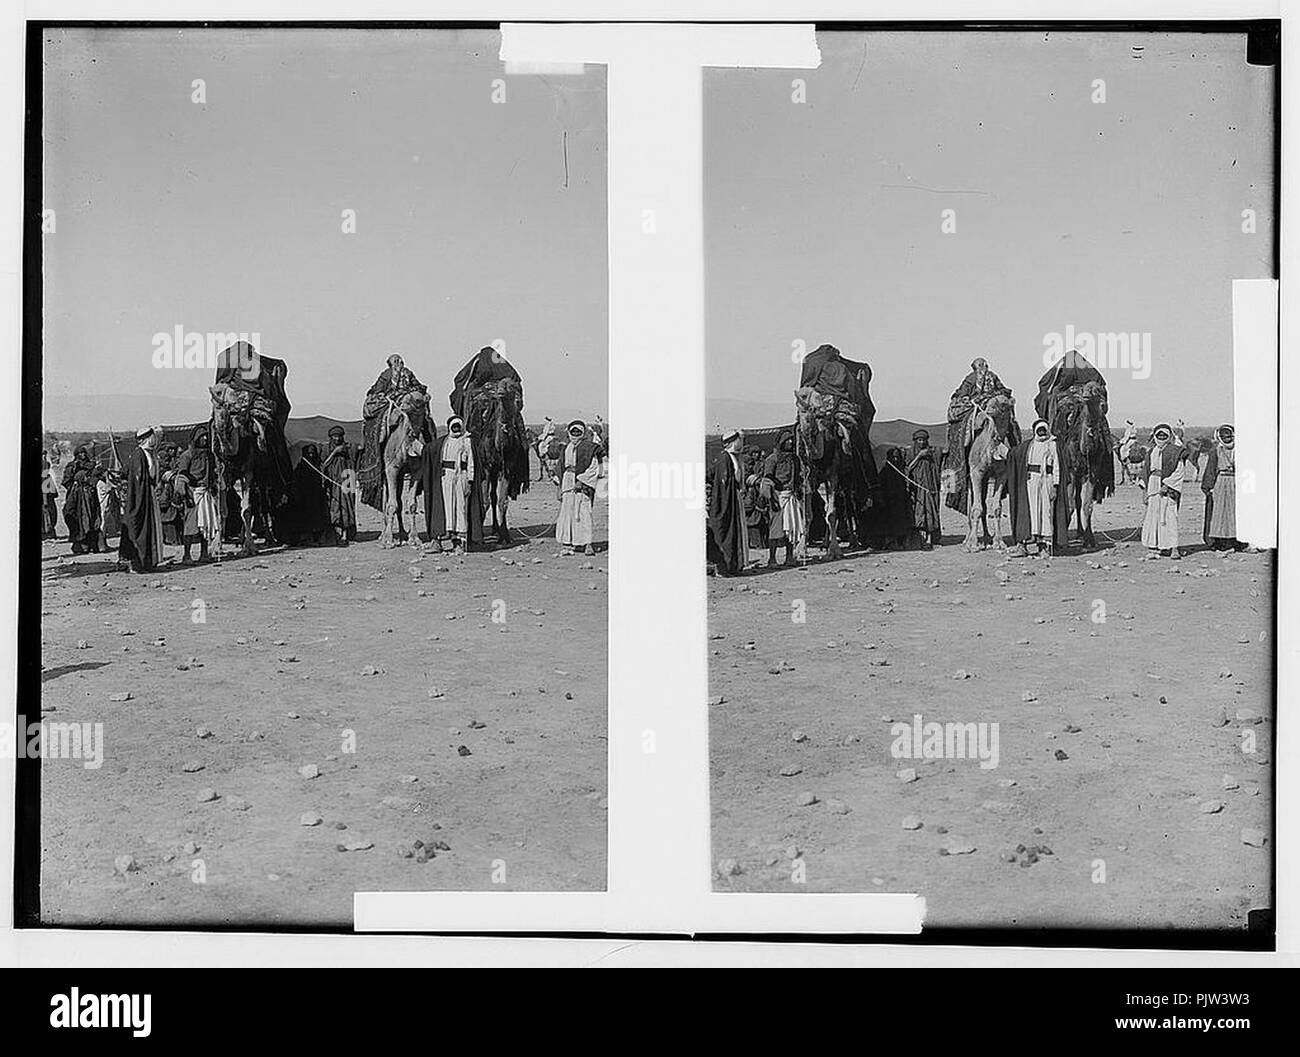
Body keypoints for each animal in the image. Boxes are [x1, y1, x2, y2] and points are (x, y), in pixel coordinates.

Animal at [377, 390, 431, 553]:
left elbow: (411, 504)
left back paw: (402, 533)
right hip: (386, 473)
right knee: (386, 501)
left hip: (402, 476)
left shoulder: (417, 470)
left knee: (400, 502)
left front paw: (414, 538)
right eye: (404, 398)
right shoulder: (391, 468)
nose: (402, 405)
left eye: (418, 400)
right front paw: (388, 540)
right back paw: (383, 535)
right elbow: (391, 504)